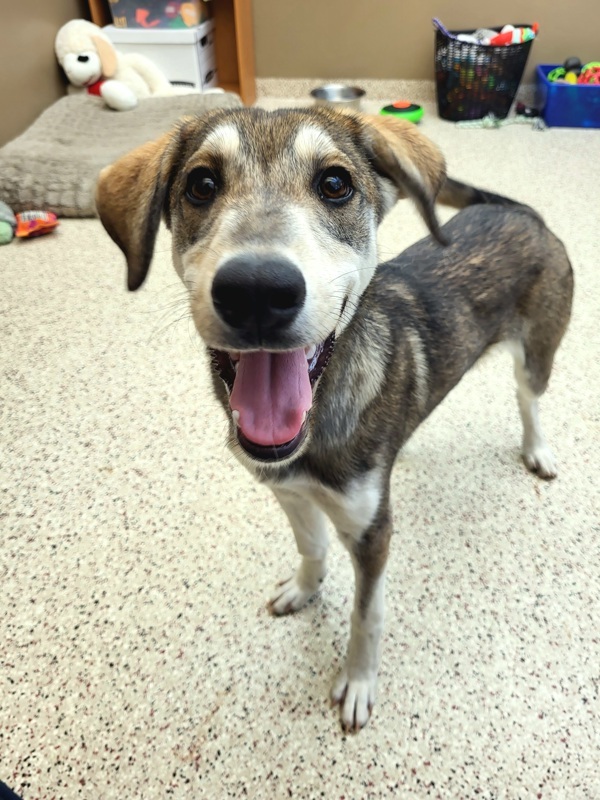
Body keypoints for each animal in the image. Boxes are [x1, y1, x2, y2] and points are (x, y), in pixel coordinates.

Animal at [96, 106, 576, 732]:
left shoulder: (374, 533)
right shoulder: (288, 492)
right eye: (201, 184)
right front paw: (305, 590)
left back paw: (537, 449)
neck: (317, 423)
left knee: (529, 399)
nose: (257, 291)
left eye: (335, 183)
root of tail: (521, 211)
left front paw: (358, 682)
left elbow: (366, 615)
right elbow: (311, 547)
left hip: (538, 349)